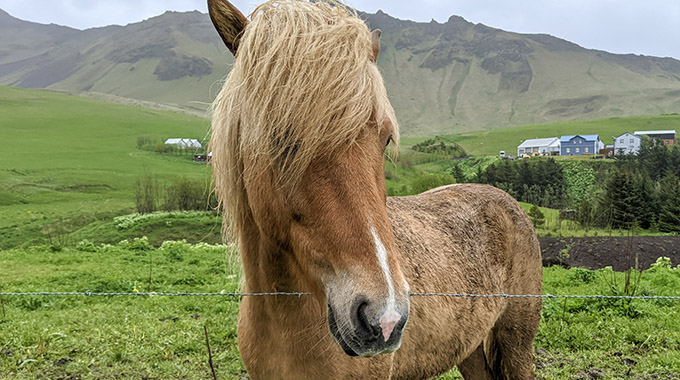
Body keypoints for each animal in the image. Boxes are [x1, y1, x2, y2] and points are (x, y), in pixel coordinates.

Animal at [207, 1, 540, 378]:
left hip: (516, 343)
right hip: (467, 349)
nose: (385, 318)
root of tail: (506, 201)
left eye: (386, 140)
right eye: (281, 138)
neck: (286, 320)